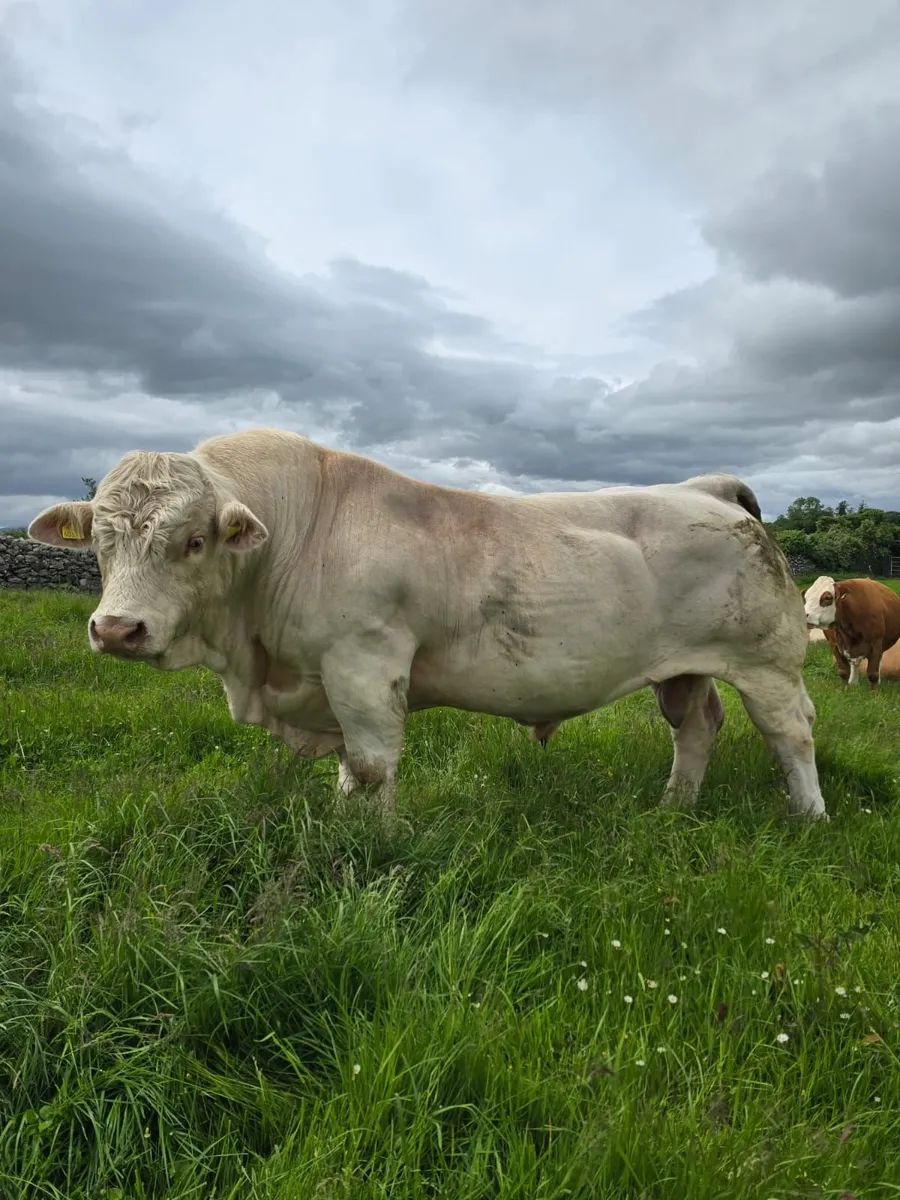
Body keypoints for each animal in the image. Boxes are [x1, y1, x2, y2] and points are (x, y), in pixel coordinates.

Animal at [28, 427, 828, 820]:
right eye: (101, 541)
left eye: (194, 541)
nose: (117, 630)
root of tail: (706, 488)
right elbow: (350, 770)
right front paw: (345, 827)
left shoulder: (366, 661)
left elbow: (372, 765)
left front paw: (372, 844)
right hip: (686, 667)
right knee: (695, 728)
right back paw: (672, 809)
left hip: (767, 662)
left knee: (790, 734)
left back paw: (809, 818)